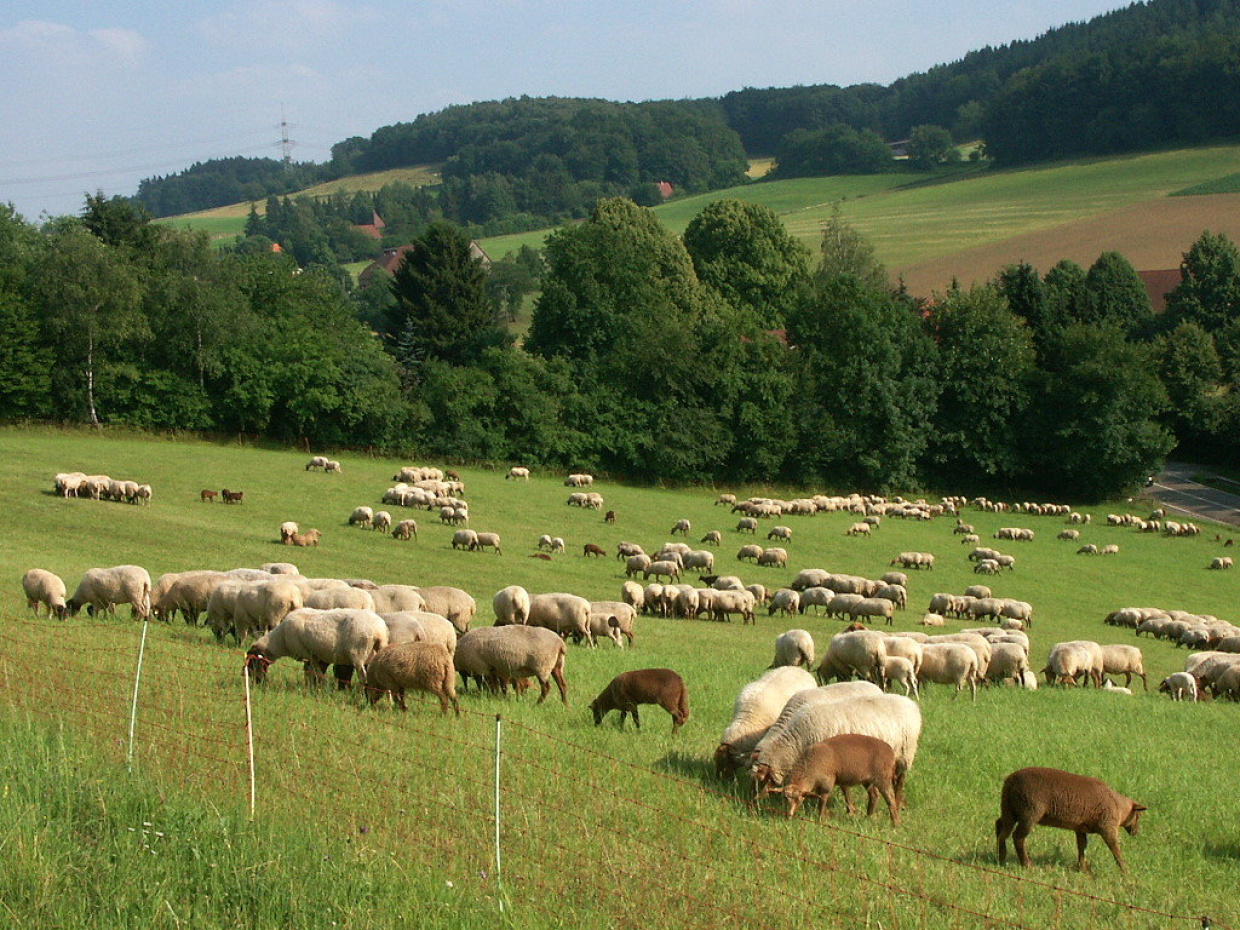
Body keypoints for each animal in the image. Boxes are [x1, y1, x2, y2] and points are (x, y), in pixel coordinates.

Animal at [244, 607, 389, 688]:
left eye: (253, 663)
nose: (256, 682)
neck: (280, 640)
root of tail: (379, 630)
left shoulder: (309, 655)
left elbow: (316, 673)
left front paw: (319, 688)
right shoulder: (316, 656)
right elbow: (311, 673)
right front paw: (312, 688)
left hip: (358, 654)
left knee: (363, 677)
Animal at [750, 691, 921, 795]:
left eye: (763, 779)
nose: (756, 803)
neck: (797, 740)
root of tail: (910, 703)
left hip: (905, 754)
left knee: (900, 780)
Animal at [769, 734, 902, 823]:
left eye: (799, 799)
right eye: (785, 798)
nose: (789, 816)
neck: (808, 766)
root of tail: (890, 750)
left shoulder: (827, 783)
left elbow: (822, 800)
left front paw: (821, 817)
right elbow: (821, 798)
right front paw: (826, 815)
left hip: (883, 777)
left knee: (890, 799)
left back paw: (894, 824)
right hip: (867, 779)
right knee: (874, 795)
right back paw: (868, 816)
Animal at [995, 767, 1146, 873]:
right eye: (1138, 816)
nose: (1136, 832)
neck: (1118, 807)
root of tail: (1010, 780)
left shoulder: (1080, 828)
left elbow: (1081, 846)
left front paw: (1083, 868)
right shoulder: (1107, 827)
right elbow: (1114, 848)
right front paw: (1125, 870)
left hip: (1009, 809)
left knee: (1000, 827)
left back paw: (1001, 857)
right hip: (1029, 812)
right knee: (1017, 837)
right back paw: (1026, 864)